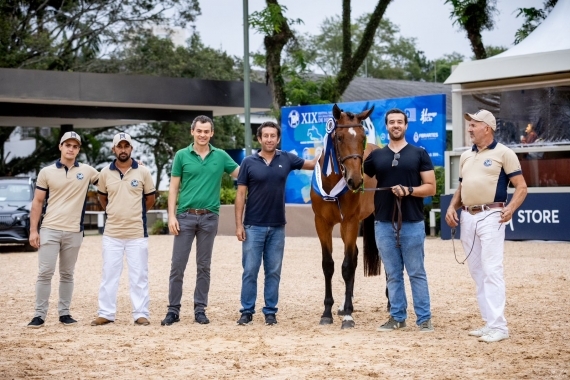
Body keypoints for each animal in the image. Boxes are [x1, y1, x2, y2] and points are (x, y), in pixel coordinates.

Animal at [310, 102, 382, 328]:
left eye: (362, 137)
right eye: (340, 138)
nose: (355, 180)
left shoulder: (350, 222)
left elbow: (347, 266)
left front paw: (349, 316)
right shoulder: (322, 223)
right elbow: (328, 265)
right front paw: (327, 312)